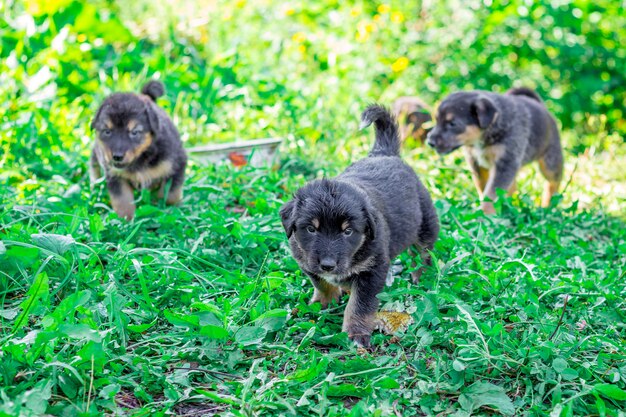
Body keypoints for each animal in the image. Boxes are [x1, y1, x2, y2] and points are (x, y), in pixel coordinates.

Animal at [89, 79, 185, 219]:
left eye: (134, 132)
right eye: (107, 131)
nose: (117, 157)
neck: (142, 158)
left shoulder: (176, 165)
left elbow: (170, 194)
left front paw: (167, 210)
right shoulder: (115, 176)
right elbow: (122, 201)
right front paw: (125, 220)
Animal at [280, 105, 436, 348]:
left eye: (348, 231)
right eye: (311, 229)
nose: (327, 265)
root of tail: (384, 153)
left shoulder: (373, 270)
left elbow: (360, 305)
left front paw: (356, 334)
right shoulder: (306, 260)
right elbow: (320, 282)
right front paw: (324, 301)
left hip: (426, 223)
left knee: (424, 253)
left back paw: (421, 275)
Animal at [424, 86, 560, 213]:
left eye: (452, 124)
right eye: (436, 120)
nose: (430, 142)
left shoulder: (505, 163)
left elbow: (491, 193)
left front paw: (484, 214)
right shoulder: (477, 163)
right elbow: (483, 188)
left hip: (550, 163)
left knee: (554, 183)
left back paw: (549, 205)